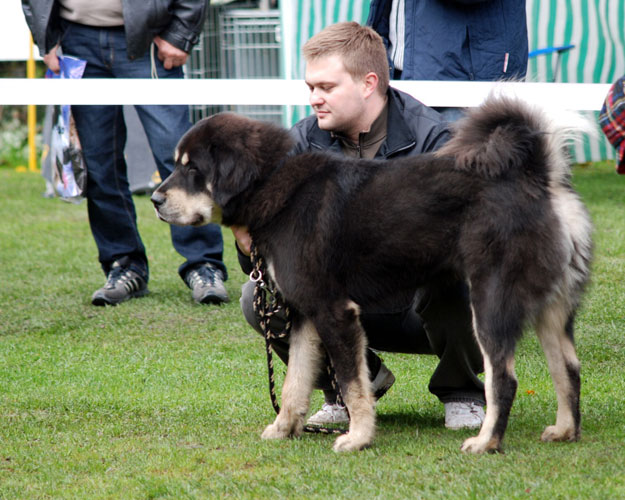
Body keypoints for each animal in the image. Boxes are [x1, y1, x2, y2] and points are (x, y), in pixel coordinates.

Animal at [150, 96, 588, 454]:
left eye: (193, 169)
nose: (154, 199)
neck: (276, 182)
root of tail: (538, 178)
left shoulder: (335, 311)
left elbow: (351, 384)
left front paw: (358, 437)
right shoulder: (304, 313)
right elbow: (295, 382)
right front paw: (284, 428)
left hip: (489, 303)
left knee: (504, 379)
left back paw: (486, 442)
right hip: (551, 311)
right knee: (568, 368)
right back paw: (564, 431)